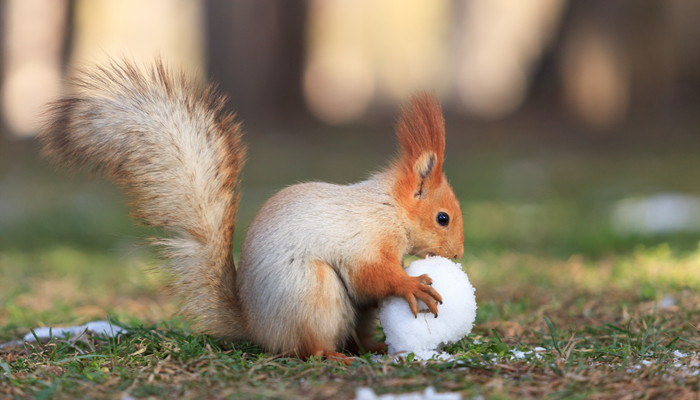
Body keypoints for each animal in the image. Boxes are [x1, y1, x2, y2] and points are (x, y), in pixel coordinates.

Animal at [39, 60, 464, 362]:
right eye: (442, 218)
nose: (458, 255)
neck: (389, 208)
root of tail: (258, 328)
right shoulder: (366, 239)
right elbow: (372, 276)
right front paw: (411, 284)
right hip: (312, 294)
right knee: (306, 348)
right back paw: (330, 355)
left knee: (353, 335)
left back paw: (372, 348)